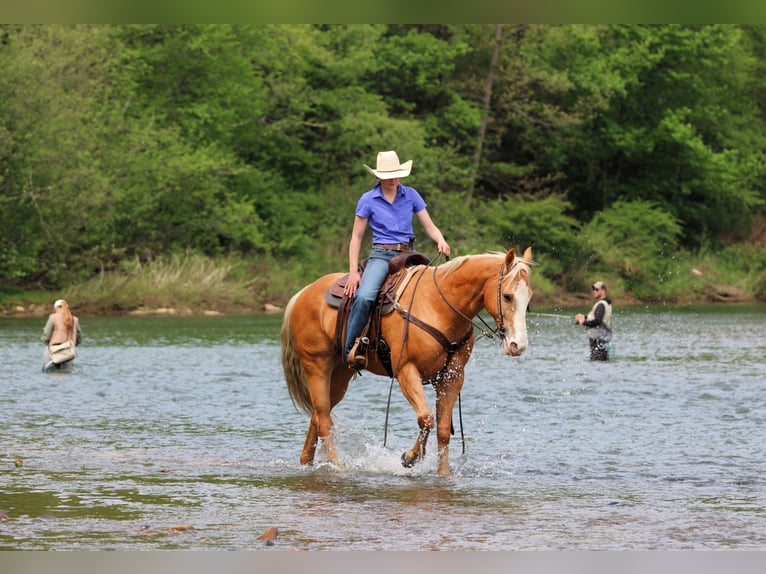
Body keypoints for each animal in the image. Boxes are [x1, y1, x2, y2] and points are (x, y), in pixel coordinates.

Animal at [281, 247, 533, 476]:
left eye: (528, 299)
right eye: (507, 296)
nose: (518, 345)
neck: (439, 306)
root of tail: (301, 294)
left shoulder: (452, 376)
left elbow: (442, 427)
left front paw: (443, 473)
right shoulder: (406, 370)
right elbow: (426, 418)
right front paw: (410, 457)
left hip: (341, 373)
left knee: (317, 414)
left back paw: (307, 461)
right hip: (317, 365)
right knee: (324, 417)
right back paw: (338, 465)